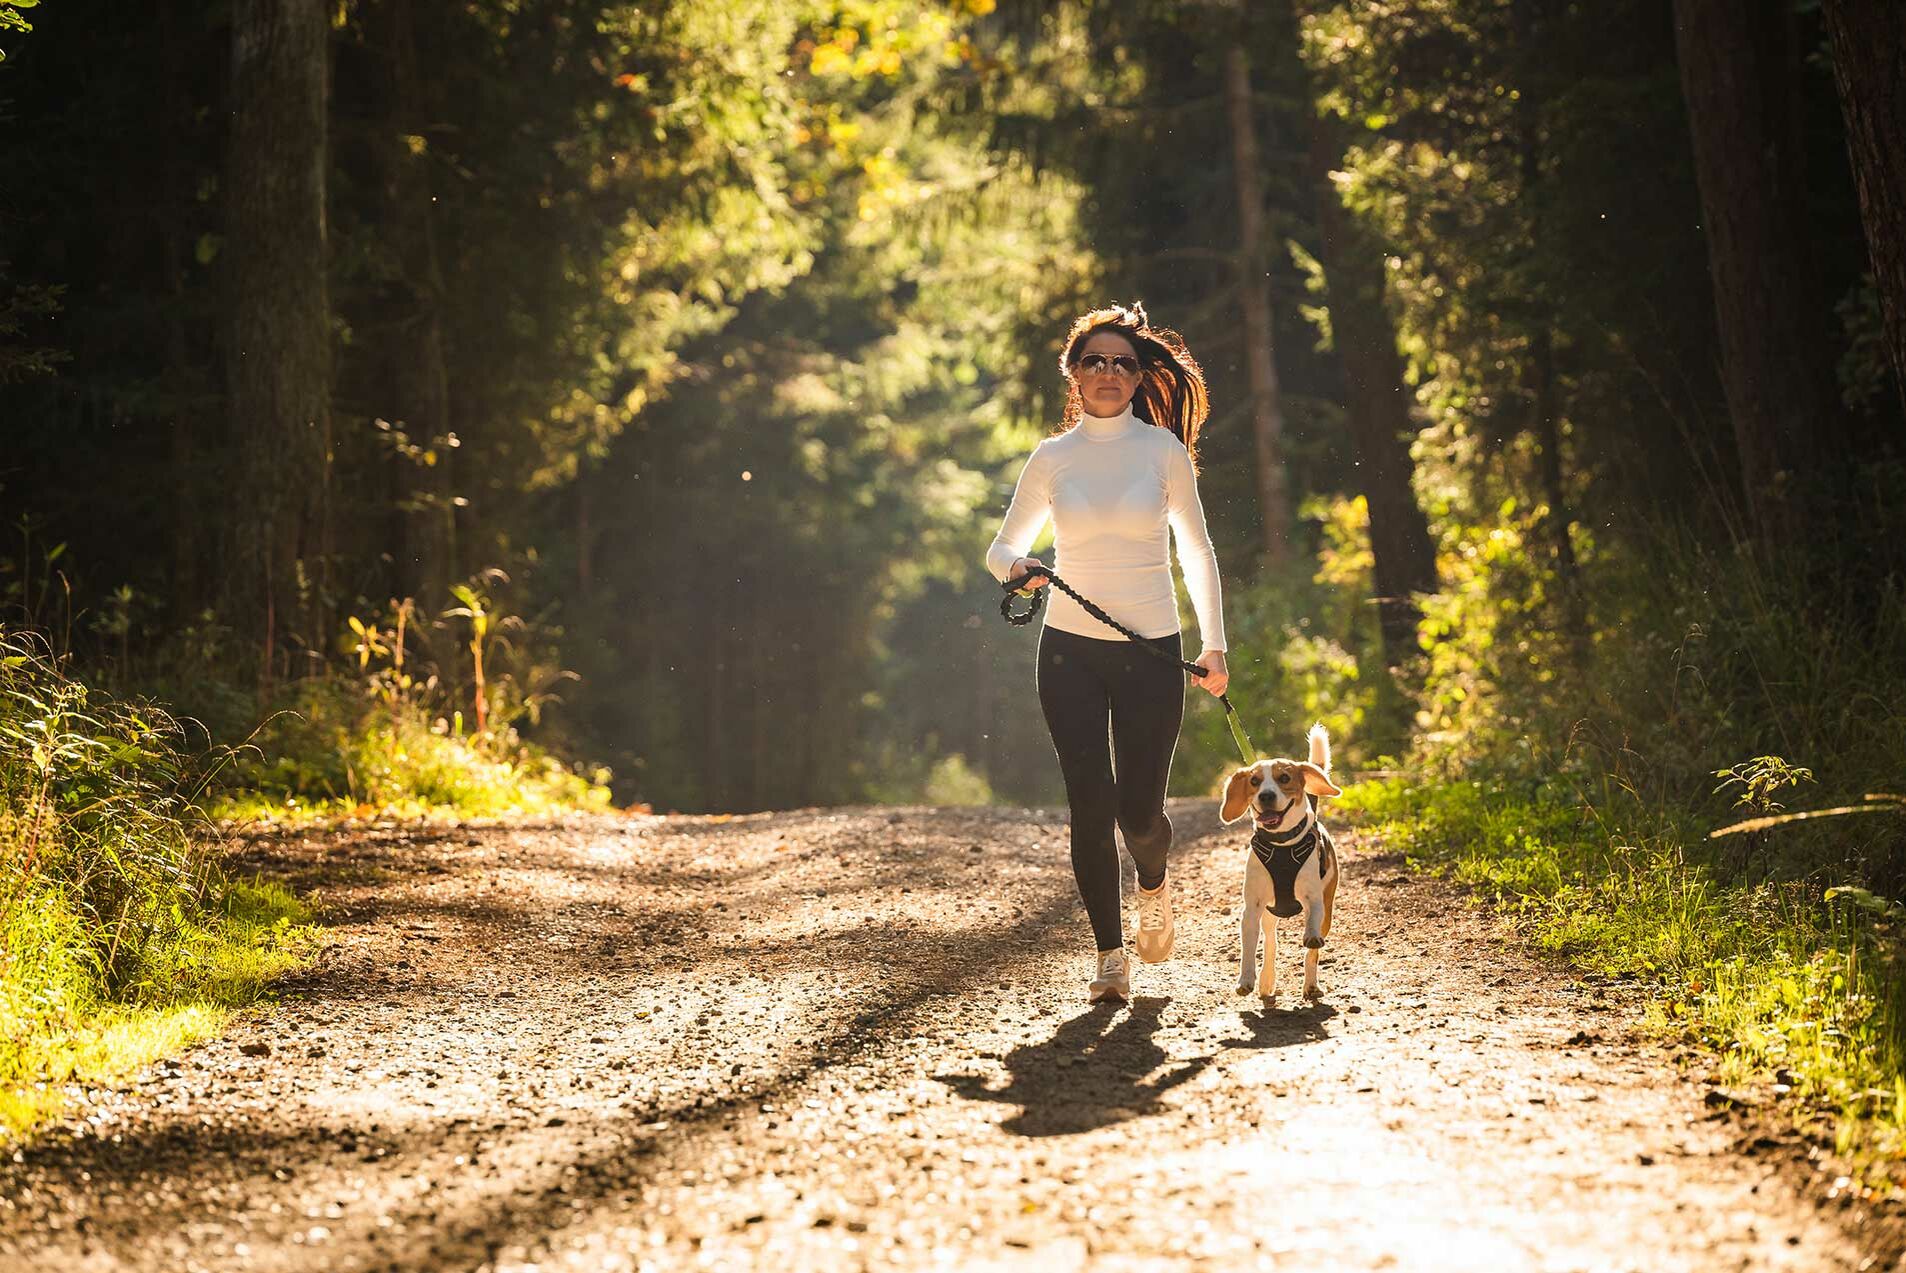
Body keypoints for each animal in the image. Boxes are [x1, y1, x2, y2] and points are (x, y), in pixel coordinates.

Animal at [1219, 720, 1341, 998]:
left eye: (1284, 778)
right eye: (1254, 781)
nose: (1266, 796)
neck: (1281, 845)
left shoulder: (1314, 898)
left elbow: (1312, 929)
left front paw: (1310, 936)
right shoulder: (1252, 909)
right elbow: (1249, 949)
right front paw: (1246, 980)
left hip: (1327, 908)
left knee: (1312, 954)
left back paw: (1311, 984)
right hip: (1269, 913)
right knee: (1271, 945)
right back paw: (1266, 982)